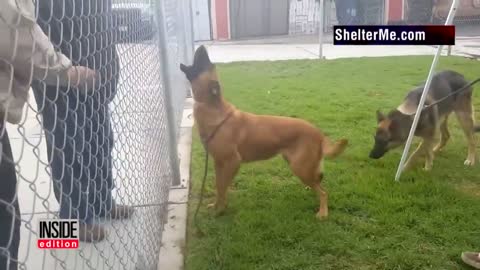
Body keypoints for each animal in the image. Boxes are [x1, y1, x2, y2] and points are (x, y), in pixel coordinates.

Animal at [180, 46, 348, 219]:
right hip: (299, 164)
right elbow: (218, 186)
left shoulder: (232, 162)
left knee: (323, 192)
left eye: (206, 64)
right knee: (318, 183)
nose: (202, 47)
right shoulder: (219, 163)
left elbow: (222, 188)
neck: (212, 107)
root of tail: (319, 134)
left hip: (300, 167)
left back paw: (323, 212)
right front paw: (217, 206)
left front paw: (220, 210)